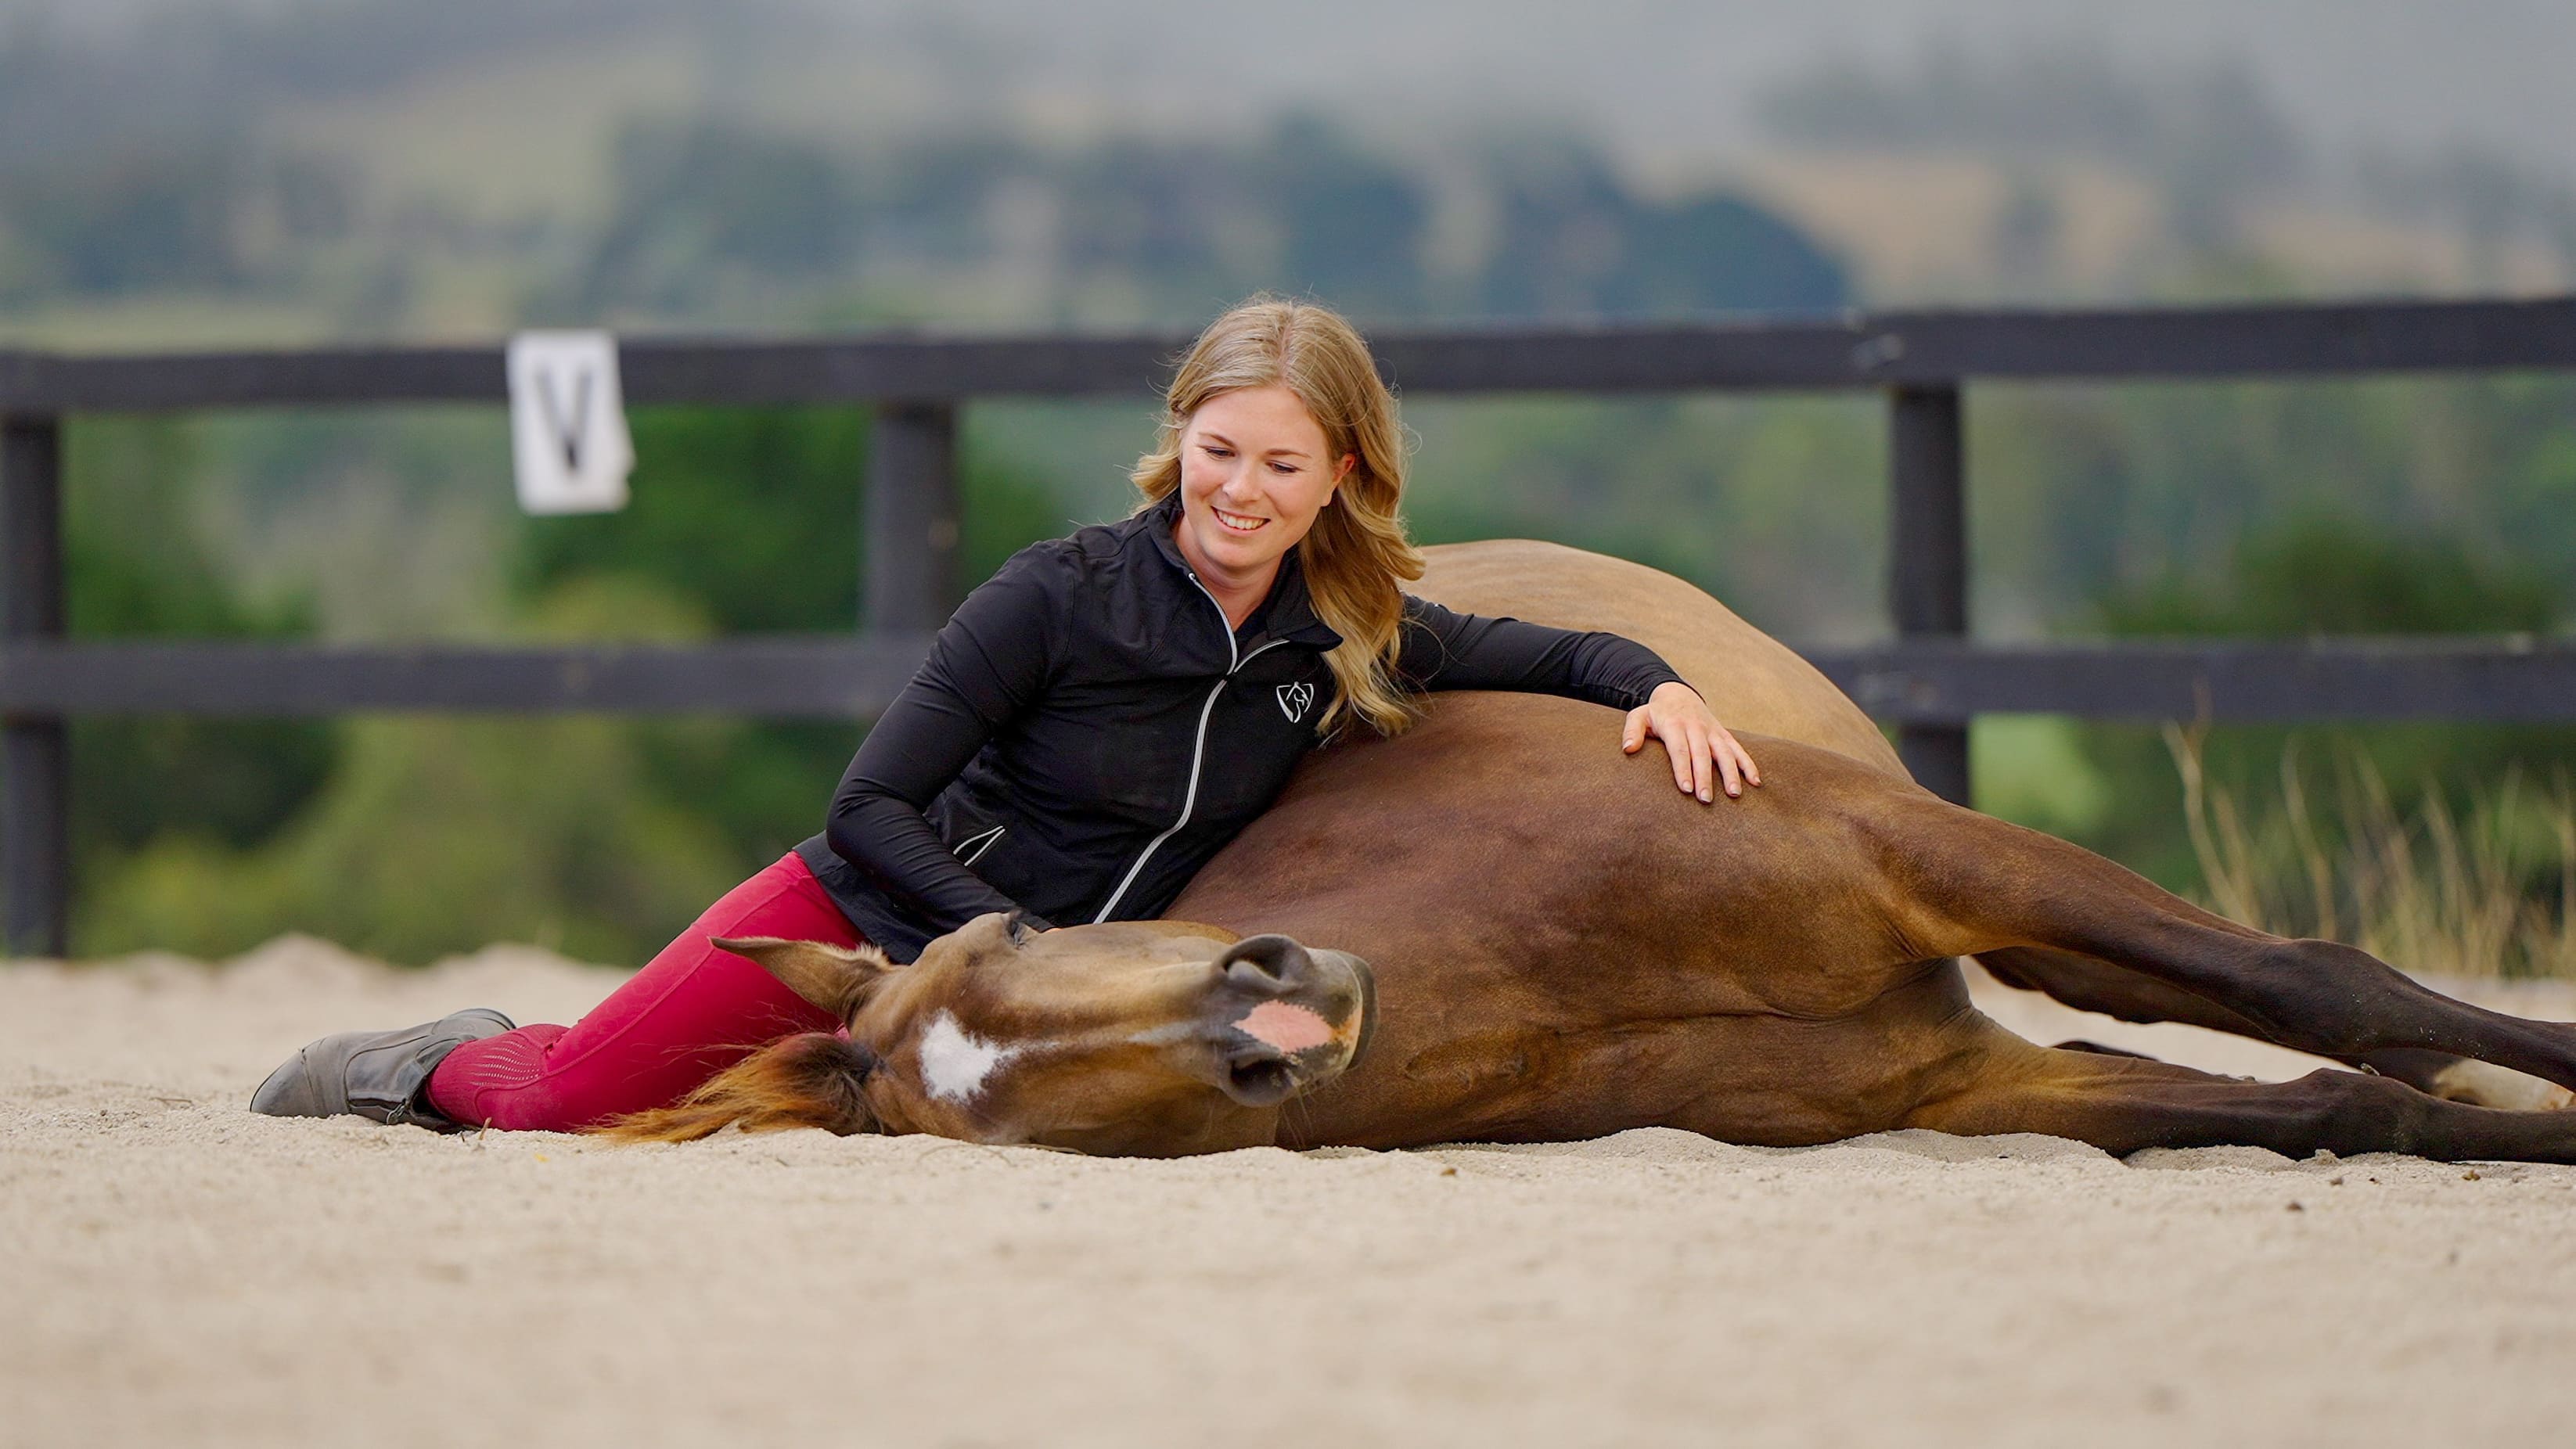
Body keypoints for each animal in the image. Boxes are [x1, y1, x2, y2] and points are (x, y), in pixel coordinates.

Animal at [610, 542, 2576, 1162]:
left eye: (1012, 935)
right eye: (1015, 1112)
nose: (1271, 990)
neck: (1560, 958)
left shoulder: (1921, 848)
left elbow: (2326, 987)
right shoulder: (1951, 1081)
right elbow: (2329, 1101)